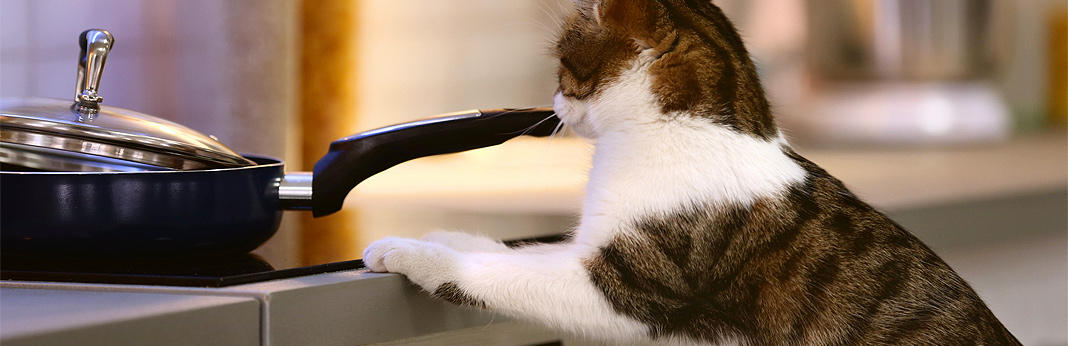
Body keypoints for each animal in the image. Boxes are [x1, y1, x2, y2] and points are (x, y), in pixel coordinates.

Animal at [363, 0, 1021, 343]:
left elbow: (504, 276)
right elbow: (512, 251)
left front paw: (409, 252)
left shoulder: (628, 280)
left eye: (563, 65)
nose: (550, 103)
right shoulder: (594, 242)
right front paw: (440, 234)